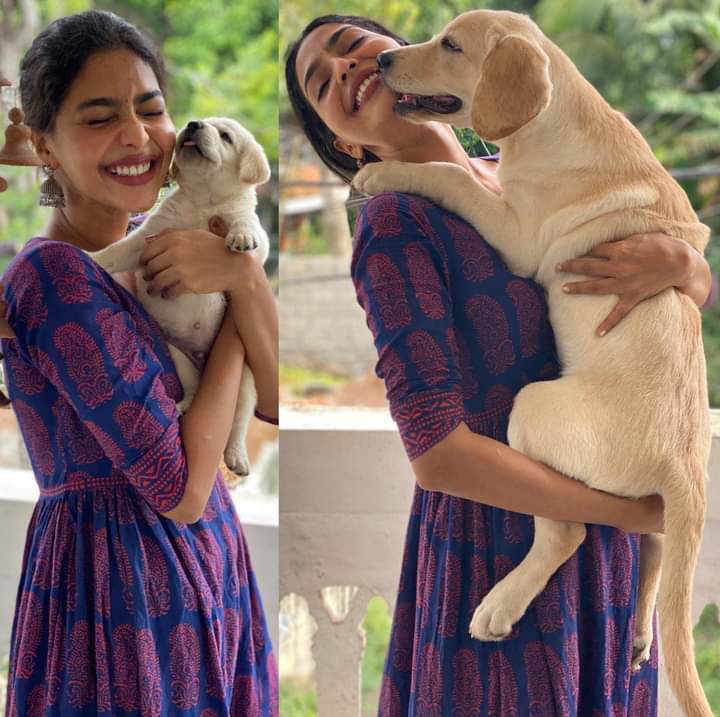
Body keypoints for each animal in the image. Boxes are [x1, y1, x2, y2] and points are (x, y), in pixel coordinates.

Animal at [88, 117, 271, 478]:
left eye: (226, 136)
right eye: (201, 123)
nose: (193, 123)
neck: (203, 201)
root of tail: (202, 359)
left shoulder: (257, 242)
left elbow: (248, 227)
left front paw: (241, 235)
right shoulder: (147, 239)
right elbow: (117, 251)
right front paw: (91, 257)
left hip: (245, 380)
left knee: (238, 421)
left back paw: (237, 456)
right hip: (178, 356)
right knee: (194, 387)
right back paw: (185, 405)